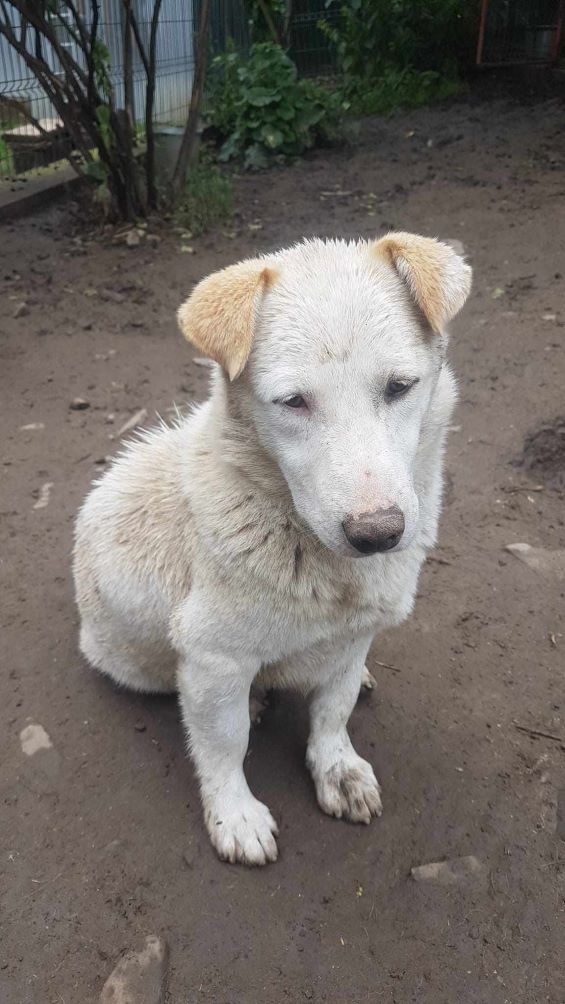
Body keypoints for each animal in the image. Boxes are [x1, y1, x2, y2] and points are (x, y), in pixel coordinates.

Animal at [74, 232, 473, 863]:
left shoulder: (355, 633)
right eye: (293, 402)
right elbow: (225, 743)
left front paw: (337, 768)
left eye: (400, 387)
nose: (379, 533)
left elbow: (333, 710)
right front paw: (234, 813)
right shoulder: (214, 656)